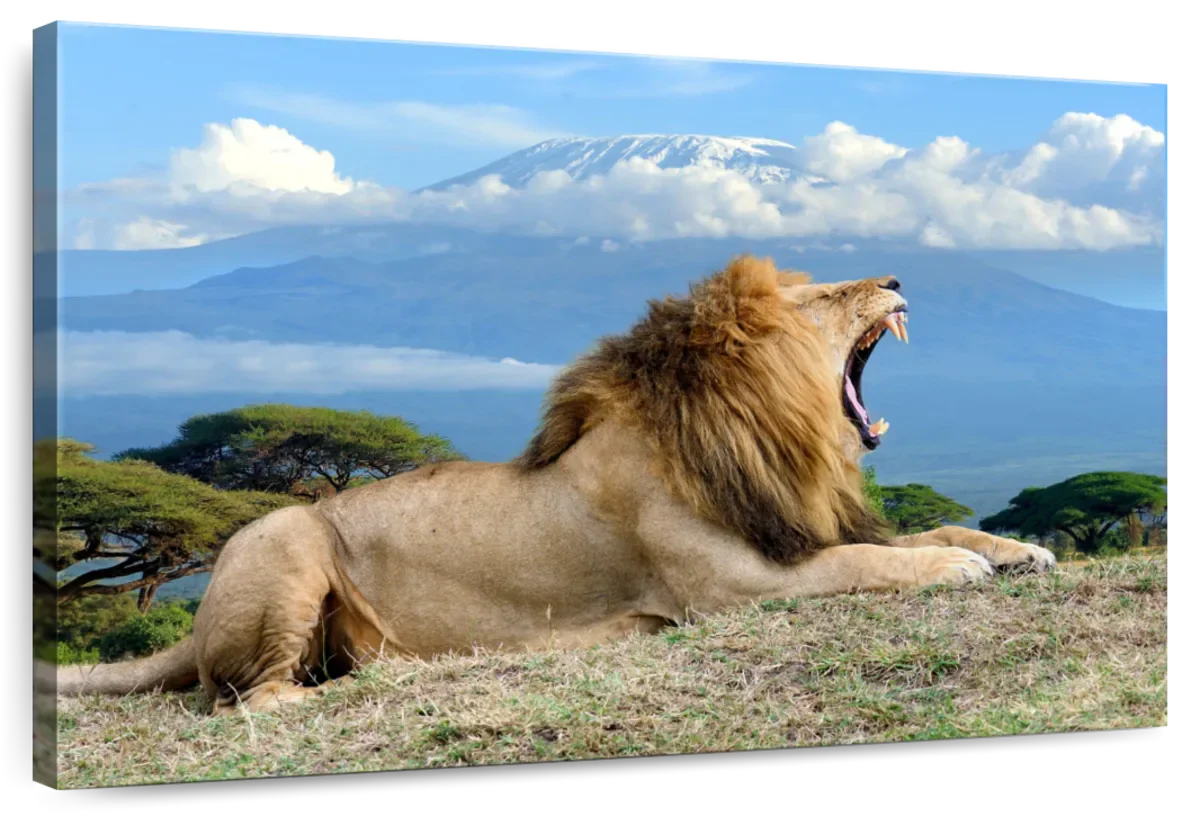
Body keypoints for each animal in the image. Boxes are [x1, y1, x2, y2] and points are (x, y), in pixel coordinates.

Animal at [55, 255, 1055, 714]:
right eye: (823, 299)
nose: (893, 276)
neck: (770, 436)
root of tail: (196, 620)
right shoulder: (732, 587)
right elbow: (867, 567)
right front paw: (956, 574)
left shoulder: (796, 528)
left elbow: (932, 533)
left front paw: (1019, 548)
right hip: (284, 540)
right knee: (250, 698)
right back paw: (358, 684)